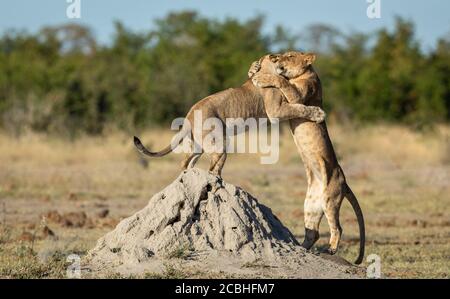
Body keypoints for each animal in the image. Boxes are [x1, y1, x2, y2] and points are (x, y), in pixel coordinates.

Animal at [250, 51, 366, 264]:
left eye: (289, 56)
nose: (276, 58)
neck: (303, 74)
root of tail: (345, 182)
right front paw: (255, 69)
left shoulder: (298, 96)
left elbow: (282, 81)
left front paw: (261, 78)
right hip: (311, 205)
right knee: (314, 232)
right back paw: (301, 248)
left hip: (330, 199)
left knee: (338, 227)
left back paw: (331, 249)